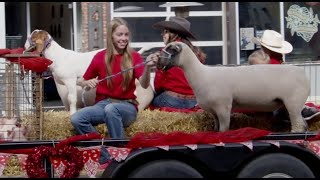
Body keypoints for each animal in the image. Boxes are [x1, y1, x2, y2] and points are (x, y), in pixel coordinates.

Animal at [24, 29, 154, 114]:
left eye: (32, 36)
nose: (24, 46)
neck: (58, 56)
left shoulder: (70, 80)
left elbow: (72, 99)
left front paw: (72, 114)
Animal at [159, 41, 312, 132]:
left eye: (170, 50)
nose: (158, 63)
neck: (201, 74)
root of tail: (302, 72)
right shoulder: (213, 110)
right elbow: (216, 127)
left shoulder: (223, 107)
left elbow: (224, 128)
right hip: (290, 104)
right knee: (302, 123)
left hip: (293, 102)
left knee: (298, 125)